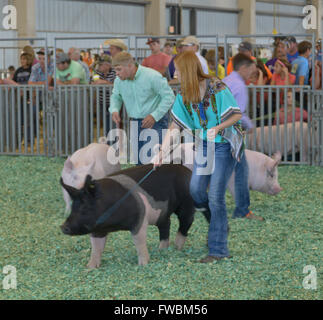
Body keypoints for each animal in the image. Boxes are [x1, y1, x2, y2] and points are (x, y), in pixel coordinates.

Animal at [60, 164, 195, 268]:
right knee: (166, 224)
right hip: (163, 213)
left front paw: (143, 265)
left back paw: (177, 248)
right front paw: (90, 267)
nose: (63, 227)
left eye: (86, 207)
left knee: (186, 223)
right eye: (73, 207)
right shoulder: (97, 229)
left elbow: (139, 243)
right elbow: (96, 247)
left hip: (187, 203)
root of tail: (188, 171)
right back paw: (161, 250)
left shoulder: (140, 219)